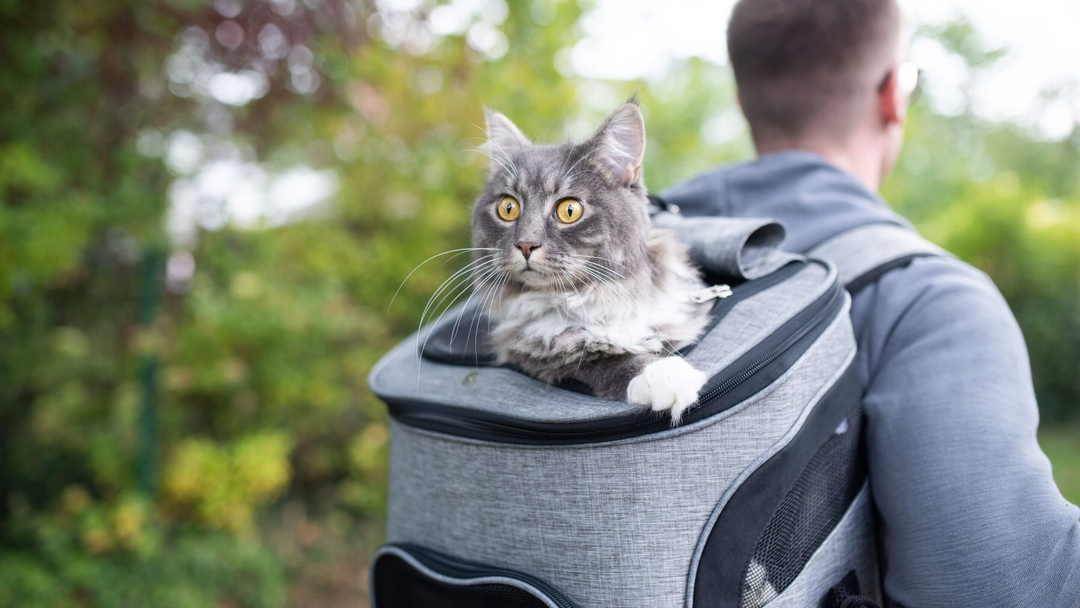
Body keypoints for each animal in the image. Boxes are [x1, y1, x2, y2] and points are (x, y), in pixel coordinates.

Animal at [473, 99, 717, 423]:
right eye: (508, 208)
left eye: (569, 210)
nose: (525, 243)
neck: (595, 298)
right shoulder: (536, 352)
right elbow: (604, 360)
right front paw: (664, 375)